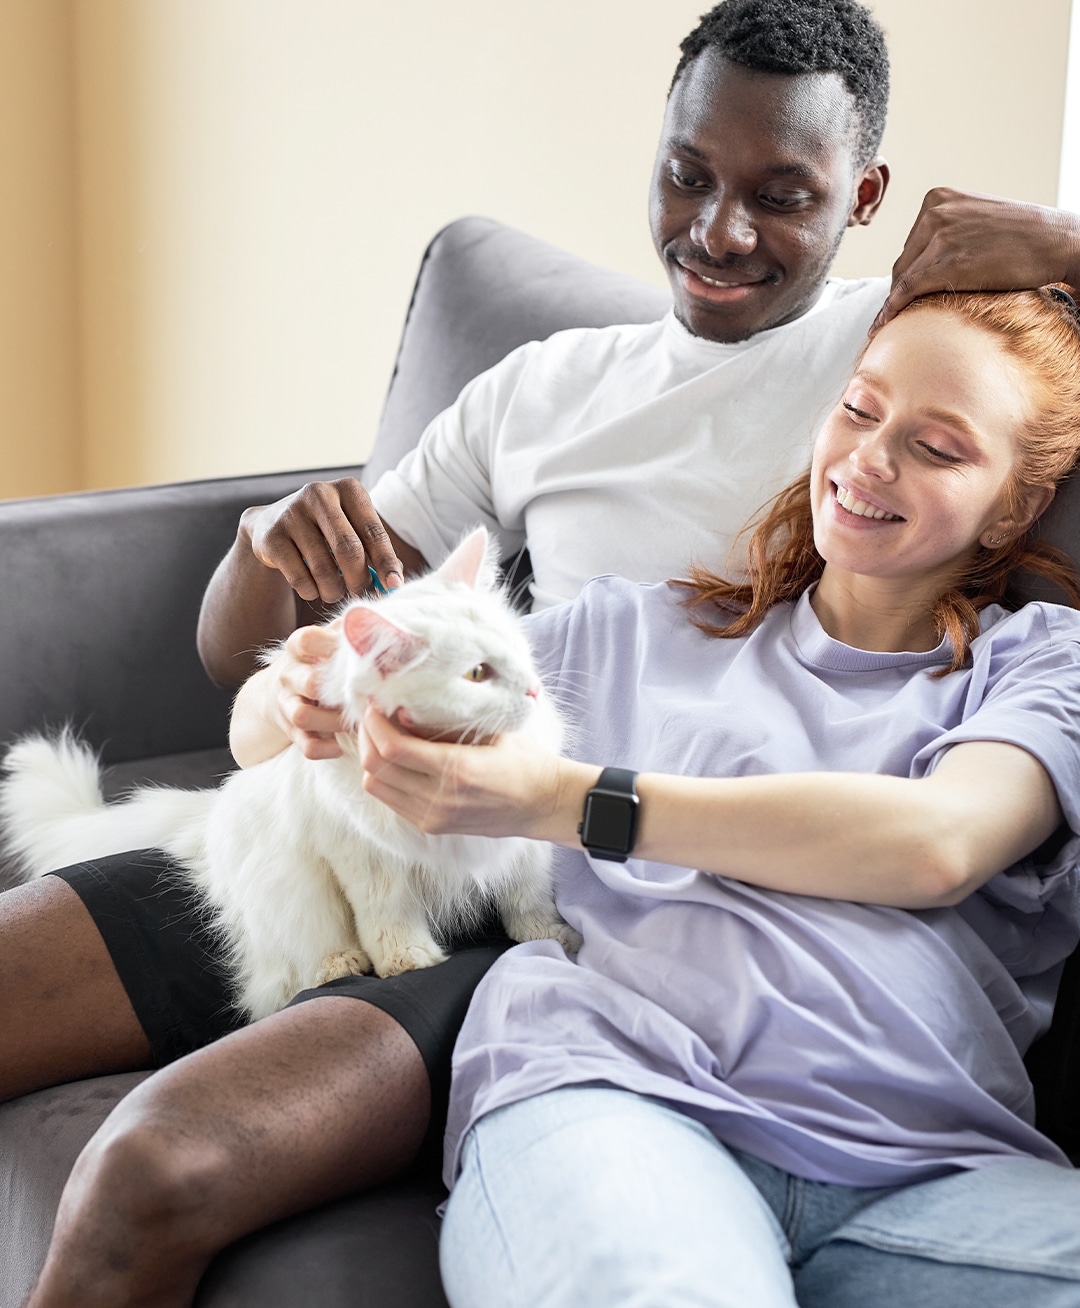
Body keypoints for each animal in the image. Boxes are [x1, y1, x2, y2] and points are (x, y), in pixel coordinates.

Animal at [0, 525, 580, 1015]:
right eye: (477, 674)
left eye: (517, 648)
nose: (533, 690)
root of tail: (210, 821)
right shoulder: (364, 857)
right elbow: (389, 917)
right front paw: (407, 961)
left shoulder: (523, 845)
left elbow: (528, 899)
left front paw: (550, 937)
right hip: (289, 891)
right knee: (294, 968)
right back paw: (340, 966)